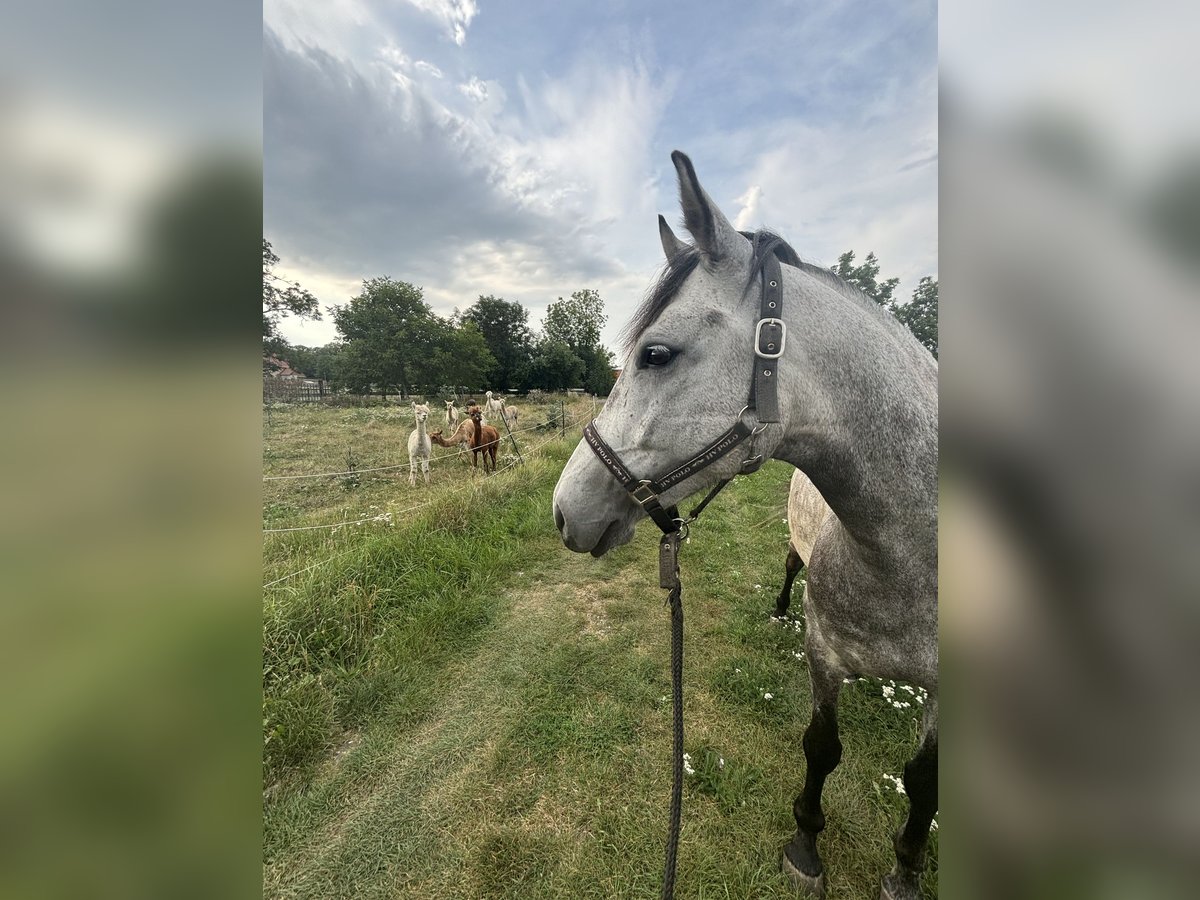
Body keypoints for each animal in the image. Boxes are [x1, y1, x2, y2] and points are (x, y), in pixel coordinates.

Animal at [552, 153, 936, 900]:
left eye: (656, 354)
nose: (563, 510)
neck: (912, 558)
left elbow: (924, 786)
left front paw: (905, 869)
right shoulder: (826, 653)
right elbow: (822, 747)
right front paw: (806, 844)